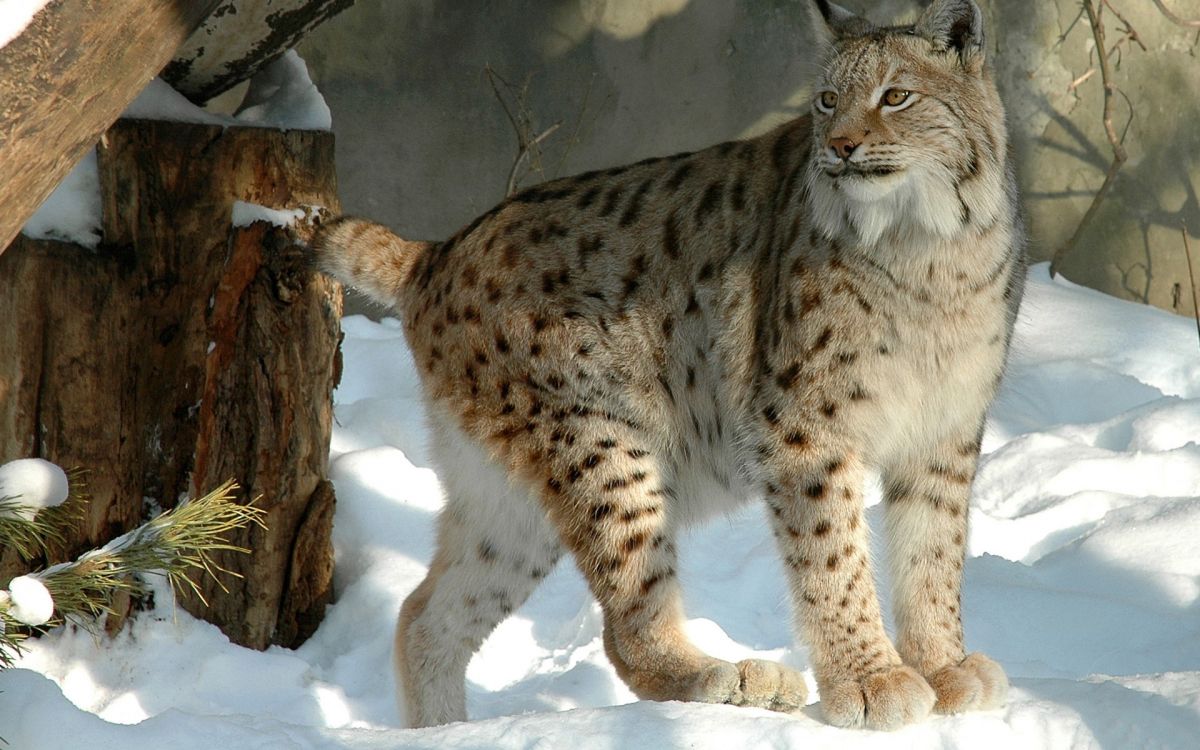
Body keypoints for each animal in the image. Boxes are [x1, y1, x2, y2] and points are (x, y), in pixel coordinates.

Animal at [311, 0, 1024, 731]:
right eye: (827, 102)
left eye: (896, 97)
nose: (840, 147)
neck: (928, 245)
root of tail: (437, 250)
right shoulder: (804, 427)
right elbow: (834, 556)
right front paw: (870, 680)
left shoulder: (944, 426)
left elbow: (933, 552)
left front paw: (941, 667)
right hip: (604, 445)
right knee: (623, 634)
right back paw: (726, 680)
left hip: (512, 496)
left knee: (424, 615)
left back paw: (450, 732)